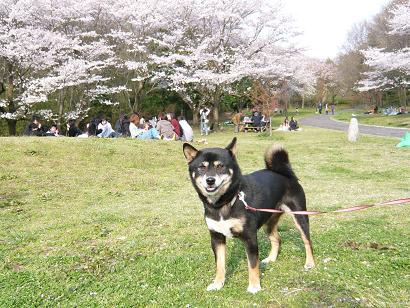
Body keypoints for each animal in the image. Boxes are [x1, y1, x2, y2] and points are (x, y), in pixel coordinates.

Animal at [183, 137, 314, 294]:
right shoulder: (216, 237)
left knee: (307, 241)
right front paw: (218, 283)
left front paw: (254, 286)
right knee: (277, 239)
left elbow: (252, 264)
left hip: (300, 216)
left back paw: (310, 263)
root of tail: (284, 172)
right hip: (269, 222)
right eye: (201, 167)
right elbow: (219, 264)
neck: (224, 203)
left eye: (220, 166)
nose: (210, 180)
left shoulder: (250, 237)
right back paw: (271, 259)